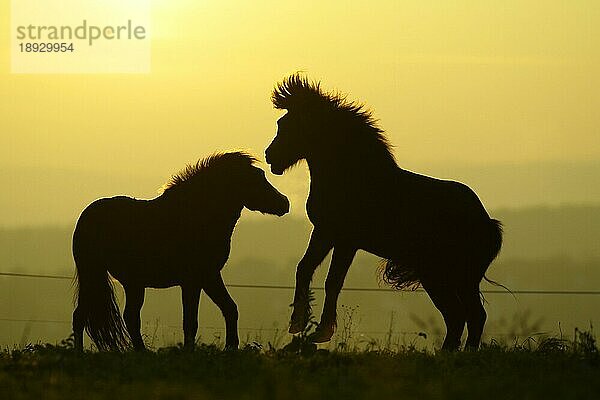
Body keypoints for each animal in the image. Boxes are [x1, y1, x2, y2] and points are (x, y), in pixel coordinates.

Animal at [71, 152, 292, 352]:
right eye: (256, 179)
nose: (285, 203)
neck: (195, 215)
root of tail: (86, 216)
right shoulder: (194, 280)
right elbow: (191, 322)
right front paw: (190, 351)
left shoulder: (209, 276)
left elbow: (230, 308)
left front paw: (231, 347)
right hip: (95, 275)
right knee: (85, 316)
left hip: (131, 283)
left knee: (124, 317)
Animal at [264, 75, 504, 350]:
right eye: (281, 123)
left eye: (290, 124)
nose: (270, 156)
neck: (353, 177)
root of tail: (487, 221)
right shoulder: (324, 232)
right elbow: (304, 268)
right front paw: (298, 323)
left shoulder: (346, 241)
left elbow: (333, 281)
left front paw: (322, 331)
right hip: (444, 276)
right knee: (461, 315)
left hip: (447, 276)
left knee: (467, 315)